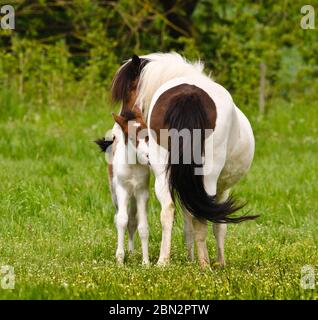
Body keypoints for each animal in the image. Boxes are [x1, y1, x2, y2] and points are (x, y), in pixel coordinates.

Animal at [110, 52, 258, 268]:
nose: (116, 132)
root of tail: (189, 95)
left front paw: (190, 257)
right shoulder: (222, 188)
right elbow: (218, 226)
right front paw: (219, 262)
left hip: (162, 172)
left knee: (168, 210)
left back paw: (163, 261)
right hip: (208, 177)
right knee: (201, 217)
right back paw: (204, 264)